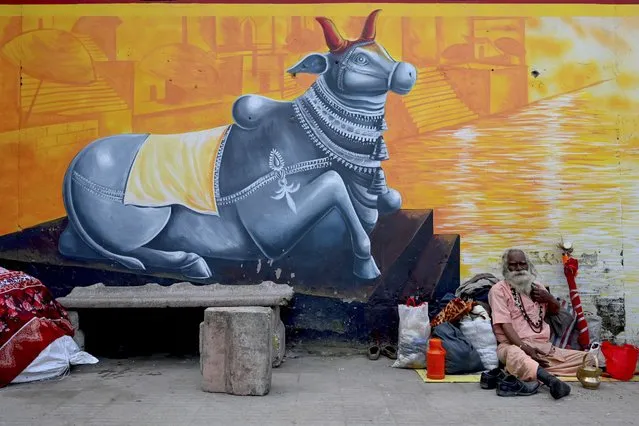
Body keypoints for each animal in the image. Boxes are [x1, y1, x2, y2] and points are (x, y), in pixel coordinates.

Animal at [57, 9, 418, 280]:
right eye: (358, 60)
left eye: (381, 51)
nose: (407, 72)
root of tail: (74, 164)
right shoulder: (271, 229)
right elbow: (333, 183)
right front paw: (365, 263)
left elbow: (391, 200)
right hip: (146, 220)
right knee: (129, 249)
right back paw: (190, 261)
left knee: (69, 244)